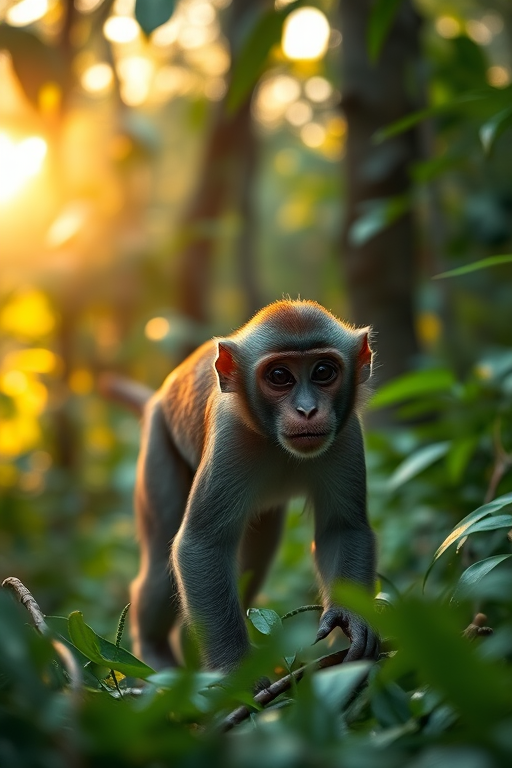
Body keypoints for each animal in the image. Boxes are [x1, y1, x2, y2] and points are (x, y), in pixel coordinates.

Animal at [118, 300, 379, 674]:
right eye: (280, 376)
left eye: (323, 371)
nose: (307, 410)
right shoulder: (229, 435)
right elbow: (201, 545)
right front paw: (237, 674)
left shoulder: (346, 434)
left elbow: (342, 529)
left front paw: (351, 620)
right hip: (158, 442)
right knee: (158, 567)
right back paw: (155, 654)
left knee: (255, 559)